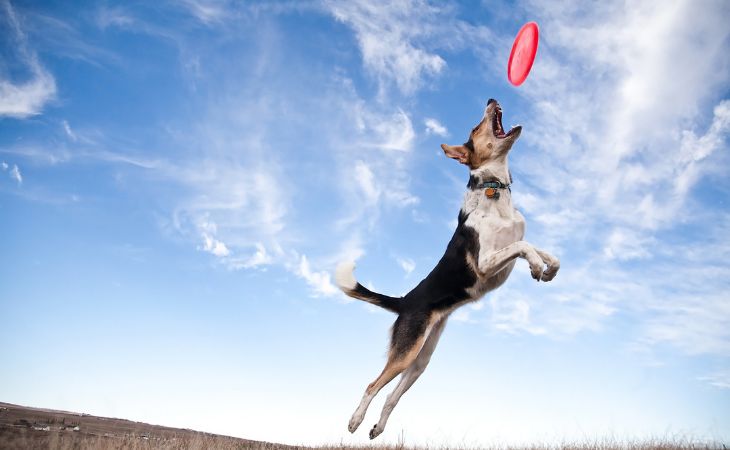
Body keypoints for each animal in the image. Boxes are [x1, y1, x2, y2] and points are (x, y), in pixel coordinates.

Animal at [332, 98, 560, 440]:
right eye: (475, 127)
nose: (491, 100)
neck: (494, 190)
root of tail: (405, 302)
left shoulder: (507, 251)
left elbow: (539, 248)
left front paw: (549, 269)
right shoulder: (485, 262)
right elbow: (524, 247)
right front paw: (535, 266)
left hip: (420, 359)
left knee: (391, 396)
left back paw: (377, 428)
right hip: (406, 352)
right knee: (373, 385)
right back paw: (355, 421)